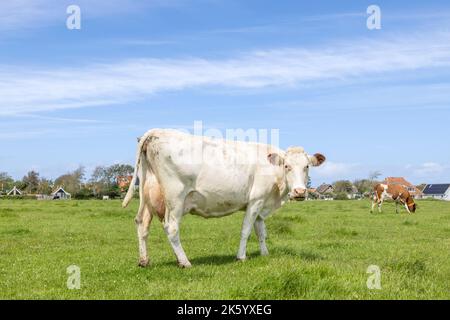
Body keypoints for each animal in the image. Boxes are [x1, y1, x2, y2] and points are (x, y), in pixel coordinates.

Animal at [123, 129, 326, 268]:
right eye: (286, 166)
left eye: (307, 166)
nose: (300, 192)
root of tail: (157, 131)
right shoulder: (255, 201)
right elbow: (246, 230)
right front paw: (241, 257)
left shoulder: (262, 204)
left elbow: (261, 231)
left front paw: (265, 254)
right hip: (175, 198)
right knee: (171, 228)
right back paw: (184, 262)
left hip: (147, 195)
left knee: (141, 224)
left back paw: (144, 260)